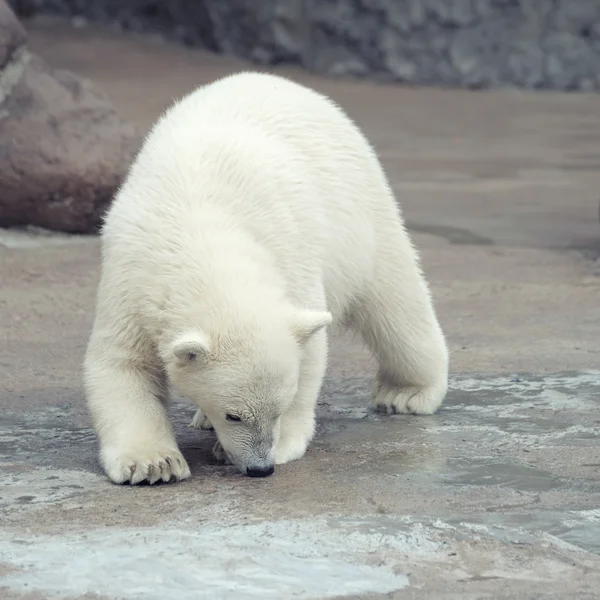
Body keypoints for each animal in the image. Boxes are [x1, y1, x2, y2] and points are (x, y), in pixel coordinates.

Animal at [85, 70, 450, 486]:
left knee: (395, 302)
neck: (200, 232)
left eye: (279, 407)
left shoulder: (289, 252)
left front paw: (285, 441)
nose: (261, 467)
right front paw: (154, 464)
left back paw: (406, 393)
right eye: (233, 415)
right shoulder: (131, 276)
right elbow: (122, 363)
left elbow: (308, 351)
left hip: (360, 210)